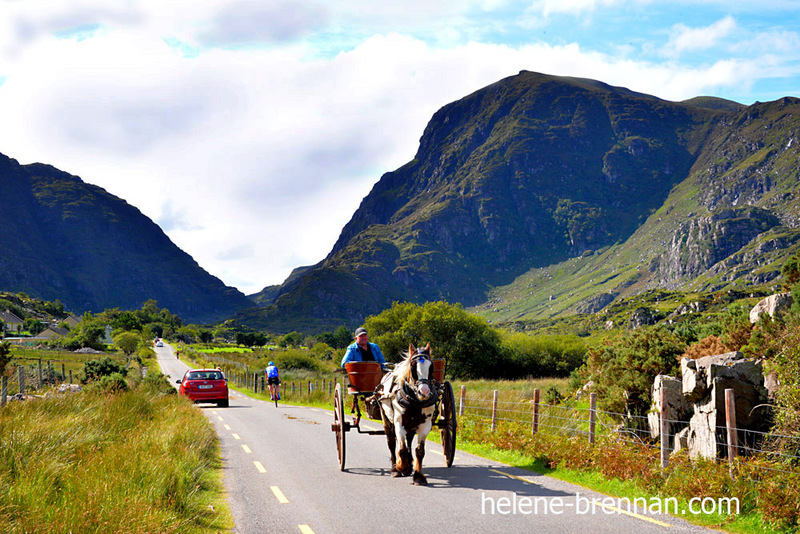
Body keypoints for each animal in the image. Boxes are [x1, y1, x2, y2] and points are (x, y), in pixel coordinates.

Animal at [376, 346, 438, 488]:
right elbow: (402, 449)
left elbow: (419, 451)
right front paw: (401, 466)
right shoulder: (399, 423)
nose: (424, 392)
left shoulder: (425, 425)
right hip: (387, 419)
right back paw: (395, 468)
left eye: (431, 366)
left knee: (408, 440)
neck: (415, 400)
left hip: (411, 425)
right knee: (392, 443)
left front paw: (418, 476)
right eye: (413, 366)